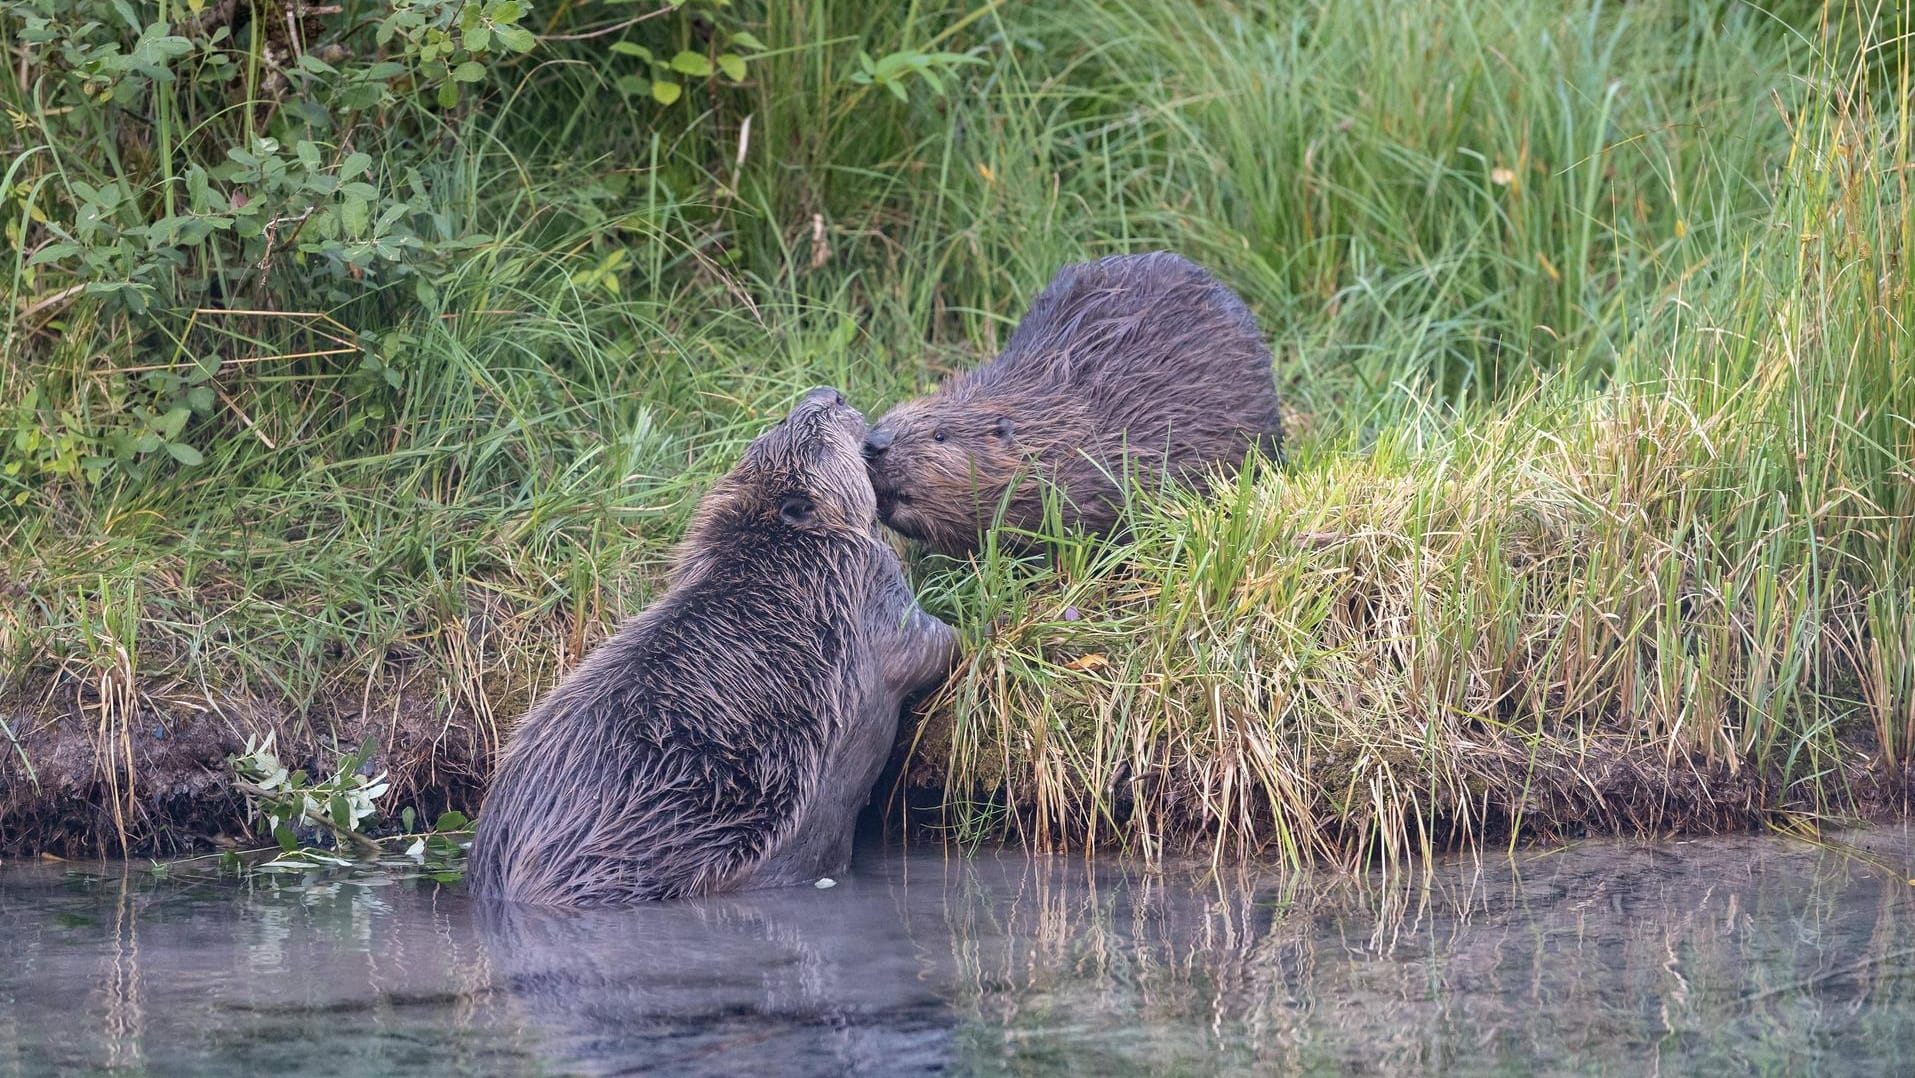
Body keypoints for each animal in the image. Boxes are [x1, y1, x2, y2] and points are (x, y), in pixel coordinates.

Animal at [467, 382, 957, 907]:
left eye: (785, 419)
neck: (781, 552)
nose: (831, 393)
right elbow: (928, 645)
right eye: (813, 435)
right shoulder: (866, 580)